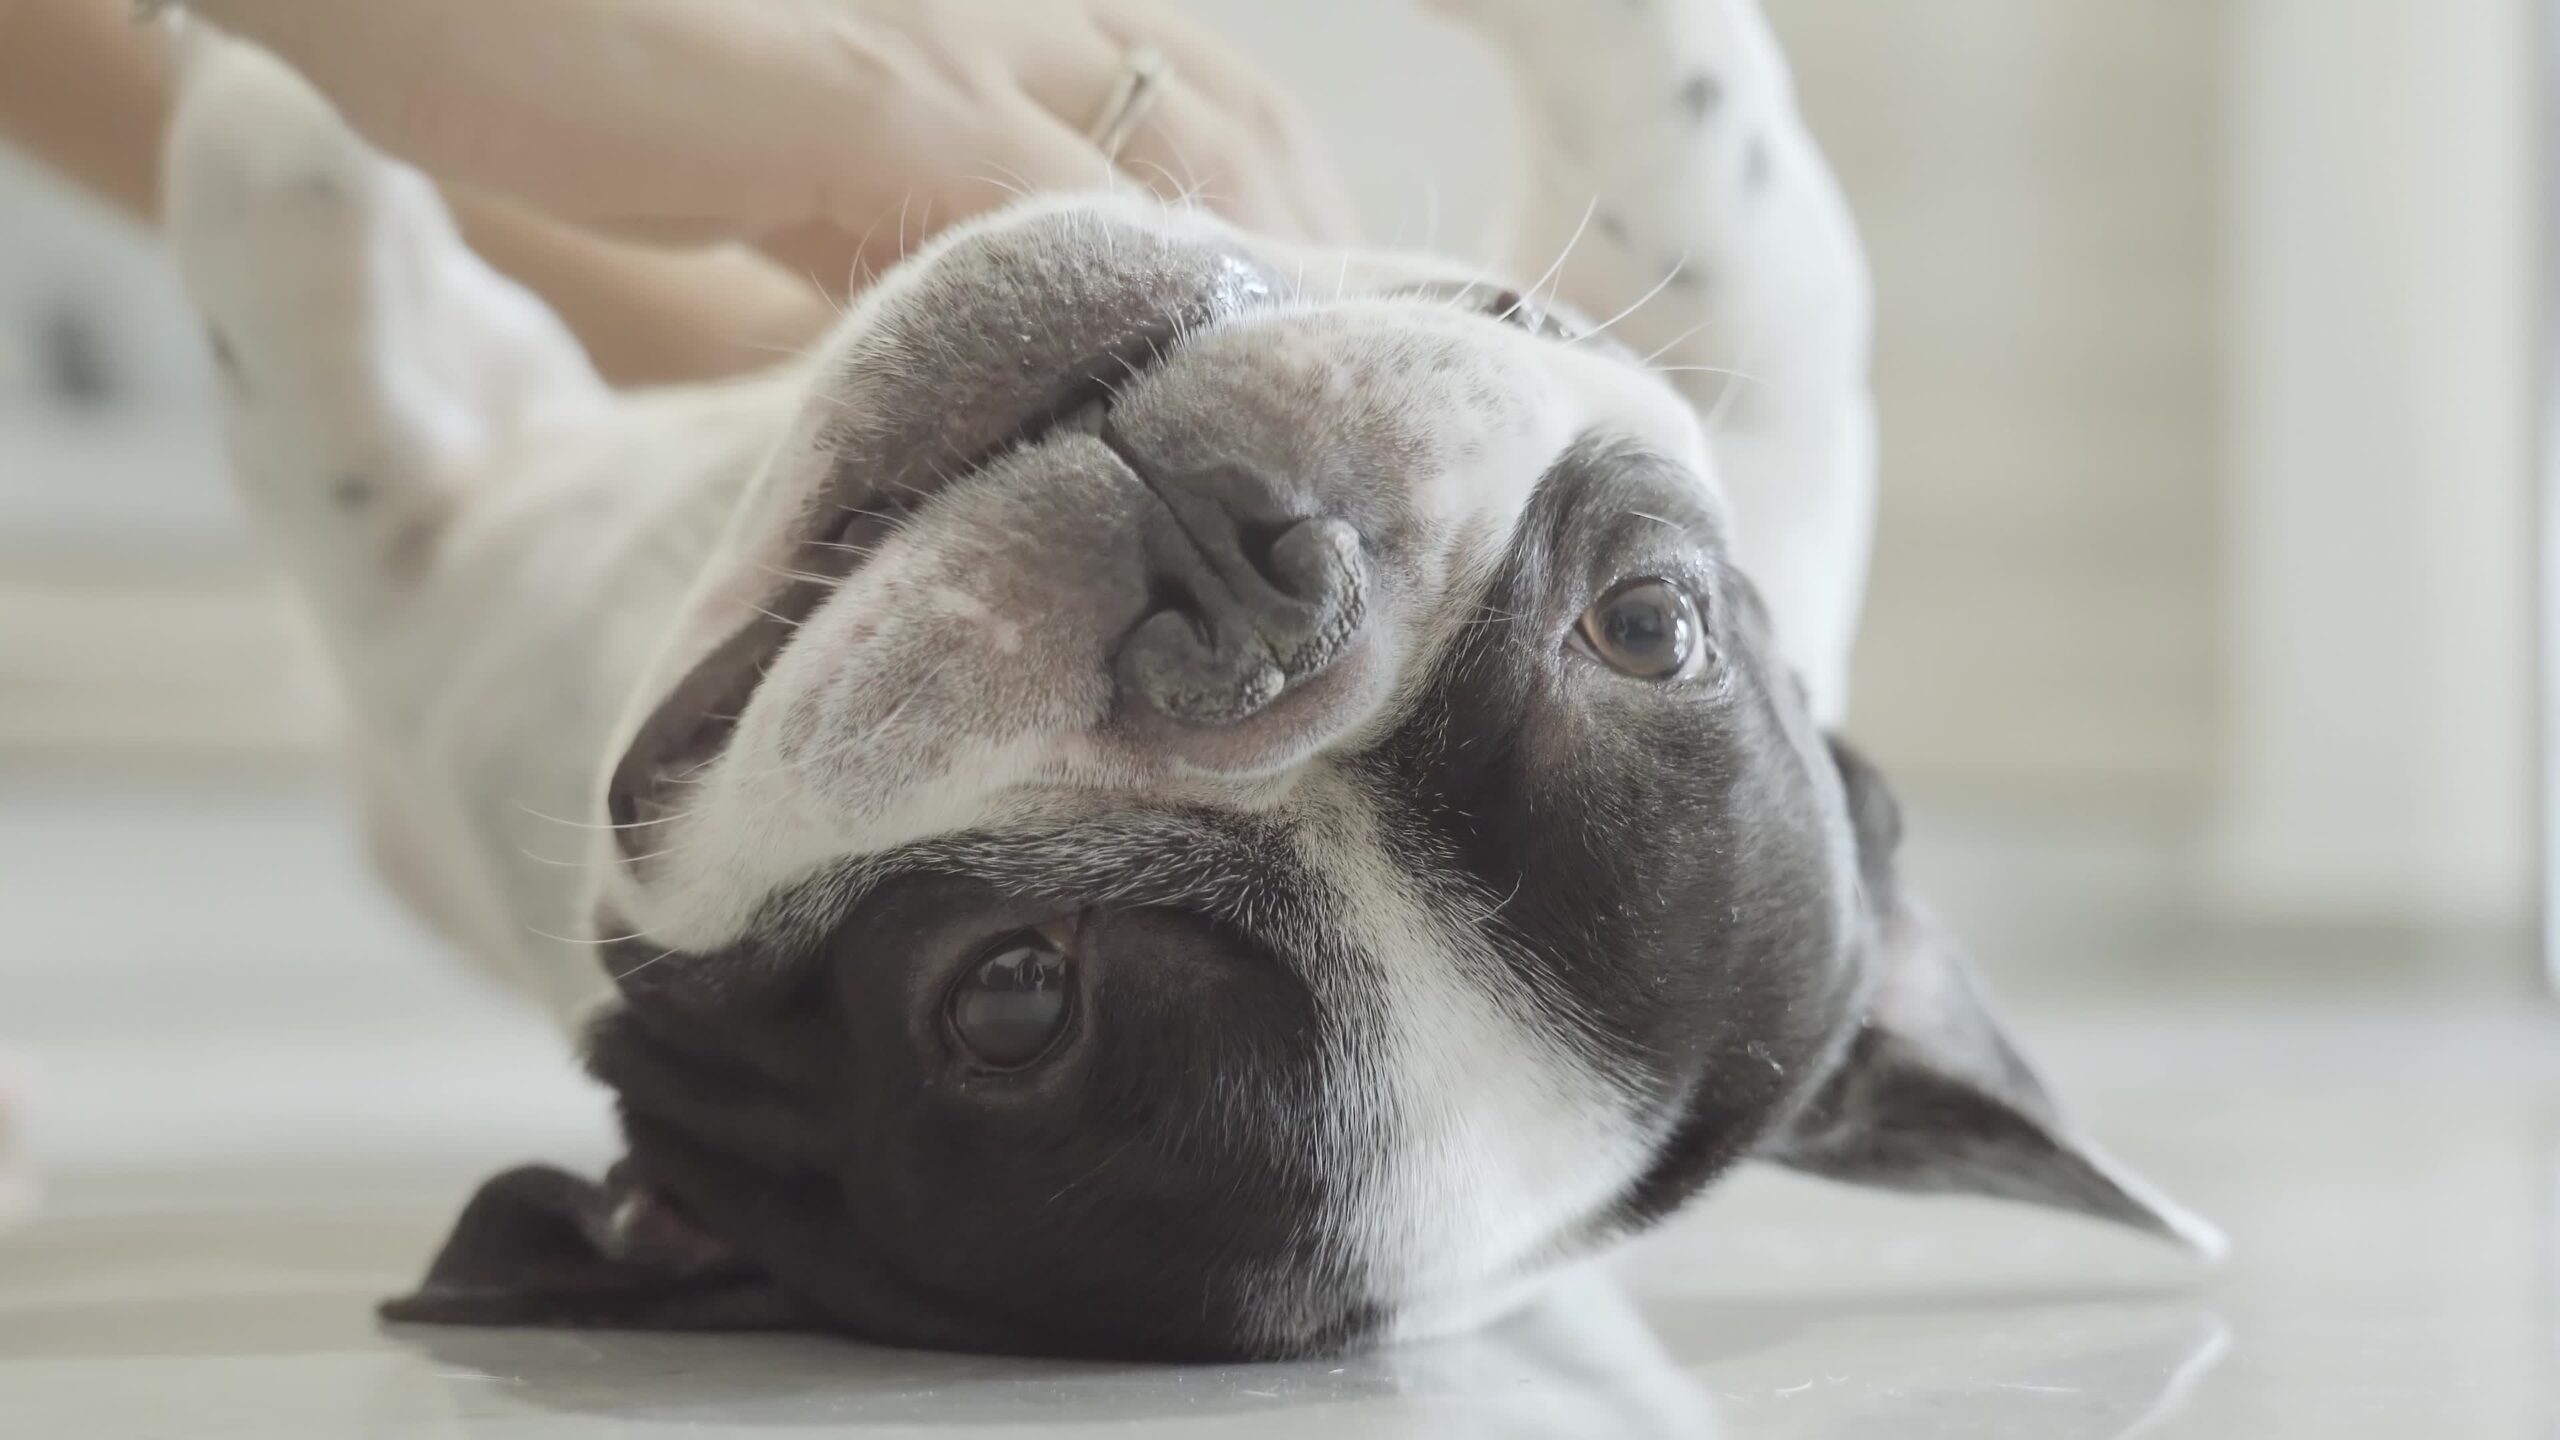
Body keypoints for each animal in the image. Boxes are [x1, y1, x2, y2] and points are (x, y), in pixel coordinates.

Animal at [165, 0, 2222, 1352]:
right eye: (1654, 626)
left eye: (1013, 998)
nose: (1264, 613)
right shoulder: (1758, 386)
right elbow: (1728, 150)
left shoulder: (428, 542)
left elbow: (296, 251)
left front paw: (255, 97)